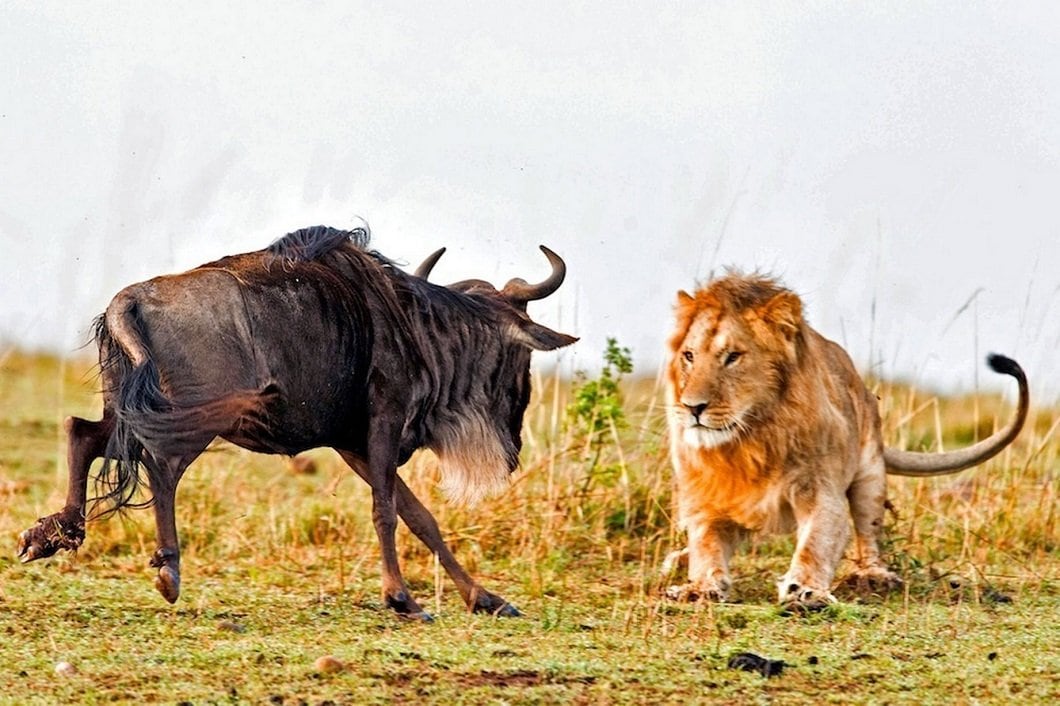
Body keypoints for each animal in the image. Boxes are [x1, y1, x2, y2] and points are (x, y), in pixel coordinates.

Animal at [661, 271, 1026, 606]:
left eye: (733, 357)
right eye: (689, 356)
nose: (692, 407)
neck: (750, 440)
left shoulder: (822, 493)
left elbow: (816, 543)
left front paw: (805, 589)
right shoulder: (708, 500)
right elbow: (706, 546)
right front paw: (698, 587)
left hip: (871, 473)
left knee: (869, 534)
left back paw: (874, 576)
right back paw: (677, 560)